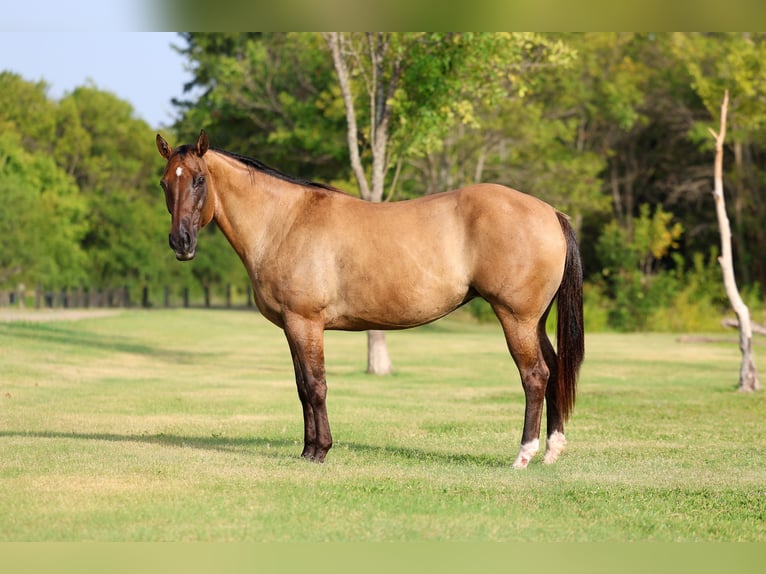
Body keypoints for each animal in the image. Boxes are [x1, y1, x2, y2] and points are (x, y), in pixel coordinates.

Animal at [156, 130, 584, 469]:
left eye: (198, 180)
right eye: (164, 183)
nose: (180, 243)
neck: (284, 221)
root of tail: (550, 212)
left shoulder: (305, 322)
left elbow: (316, 385)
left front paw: (320, 451)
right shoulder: (292, 327)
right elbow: (301, 386)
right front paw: (307, 450)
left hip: (515, 318)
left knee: (535, 376)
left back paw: (524, 455)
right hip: (535, 321)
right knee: (553, 368)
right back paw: (552, 451)